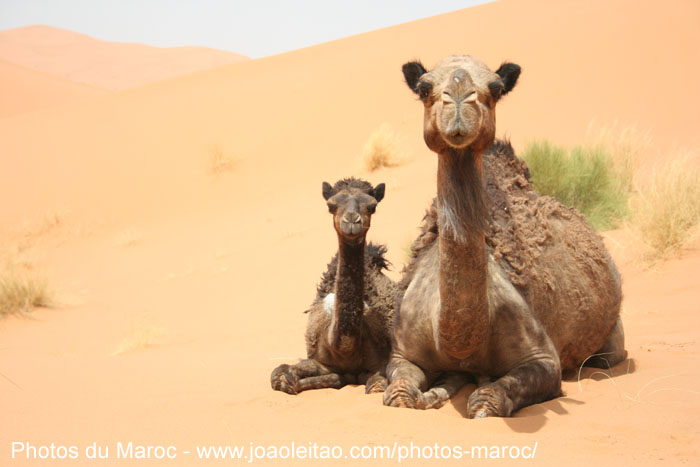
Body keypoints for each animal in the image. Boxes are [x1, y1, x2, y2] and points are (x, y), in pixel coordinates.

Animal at [270, 178, 396, 394]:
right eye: (331, 205)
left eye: (372, 206)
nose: (352, 220)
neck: (345, 346)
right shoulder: (320, 359)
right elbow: (280, 375)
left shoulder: (380, 362)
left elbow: (377, 385)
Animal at [386, 55, 628, 420]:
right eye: (424, 88)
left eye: (496, 88)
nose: (460, 92)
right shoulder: (402, 353)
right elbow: (398, 392)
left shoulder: (544, 360)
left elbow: (488, 400)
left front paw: (482, 394)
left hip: (612, 334)